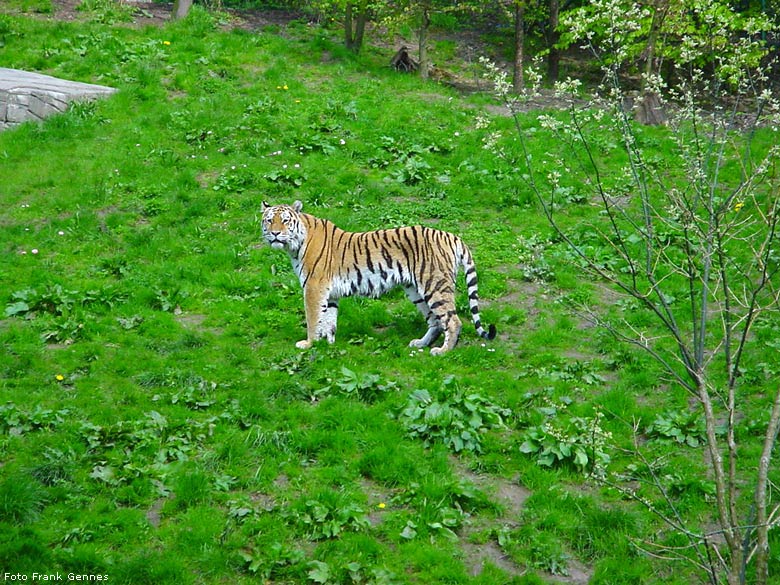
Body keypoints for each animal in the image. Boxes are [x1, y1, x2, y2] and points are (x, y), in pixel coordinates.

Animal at [258, 201, 496, 356]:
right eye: (269, 221)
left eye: (285, 221)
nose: (275, 234)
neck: (295, 245)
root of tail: (452, 235)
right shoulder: (330, 294)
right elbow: (329, 320)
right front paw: (328, 344)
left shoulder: (313, 288)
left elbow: (312, 318)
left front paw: (308, 344)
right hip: (415, 290)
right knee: (436, 321)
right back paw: (420, 343)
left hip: (434, 284)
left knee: (453, 321)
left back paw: (442, 351)